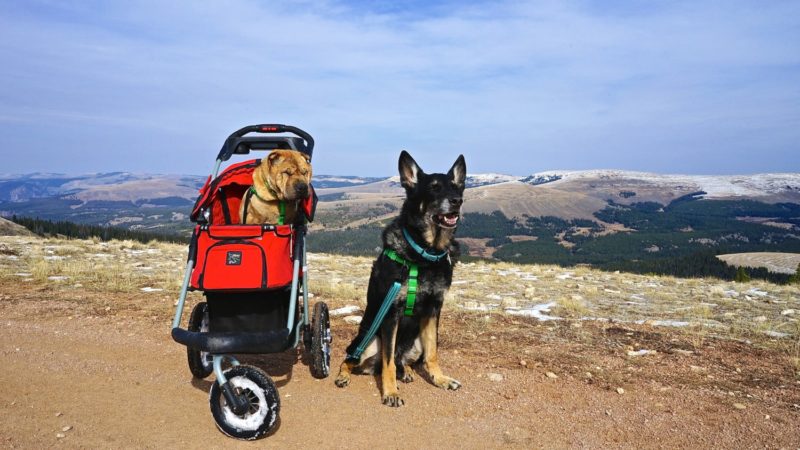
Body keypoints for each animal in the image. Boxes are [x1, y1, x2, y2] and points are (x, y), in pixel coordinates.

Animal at [334, 150, 466, 408]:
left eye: (457, 187)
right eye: (434, 187)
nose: (457, 201)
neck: (425, 254)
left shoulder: (433, 309)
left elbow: (433, 353)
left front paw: (440, 379)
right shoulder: (391, 312)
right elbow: (387, 365)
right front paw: (391, 392)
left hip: (416, 344)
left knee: (402, 360)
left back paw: (407, 371)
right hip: (368, 341)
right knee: (353, 359)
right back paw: (345, 376)